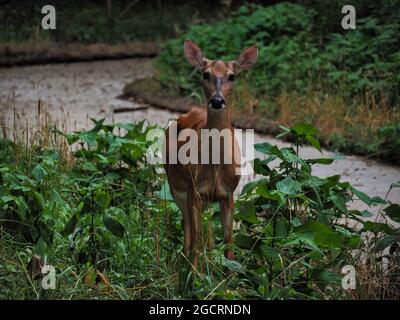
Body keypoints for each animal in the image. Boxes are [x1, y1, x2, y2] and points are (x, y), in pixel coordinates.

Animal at [164, 39, 258, 268]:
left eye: (232, 76)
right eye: (205, 74)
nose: (217, 100)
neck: (215, 166)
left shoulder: (228, 193)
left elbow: (229, 243)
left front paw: (230, 274)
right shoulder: (194, 190)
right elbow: (196, 239)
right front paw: (194, 273)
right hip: (176, 188)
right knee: (188, 227)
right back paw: (185, 261)